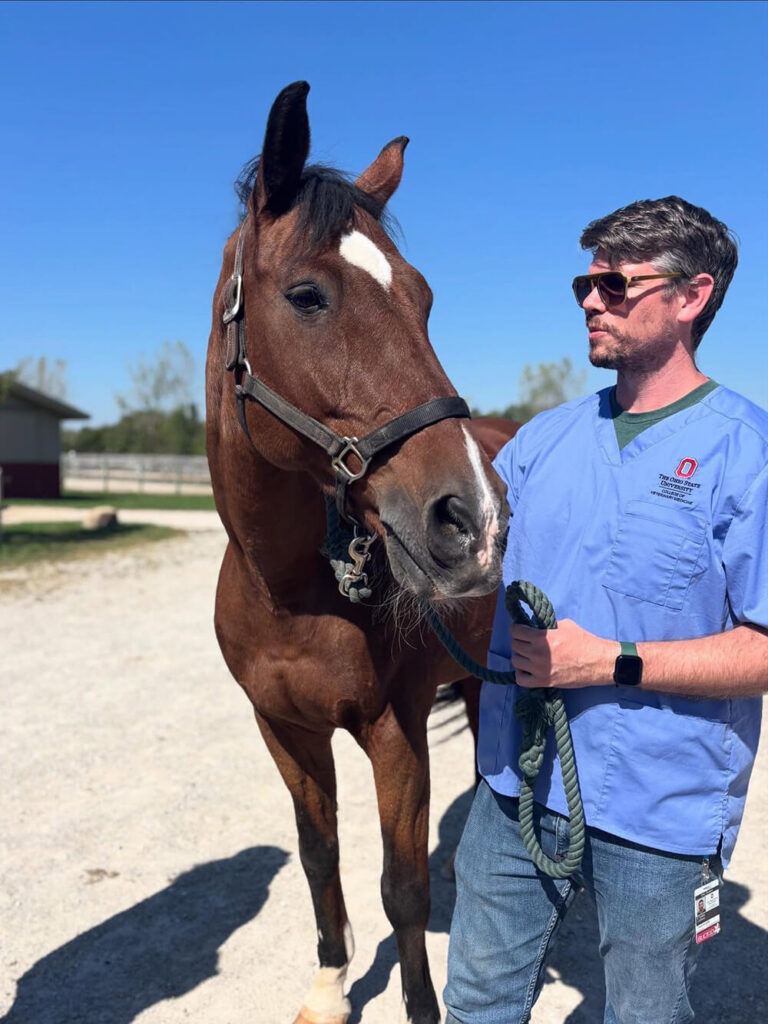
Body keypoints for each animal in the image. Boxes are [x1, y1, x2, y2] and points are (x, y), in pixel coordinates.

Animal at [206, 81, 517, 1024]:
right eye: (308, 295)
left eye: (423, 298)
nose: (474, 518)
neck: (290, 589)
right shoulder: (284, 730)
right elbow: (321, 859)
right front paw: (329, 987)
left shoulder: (395, 730)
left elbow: (402, 888)